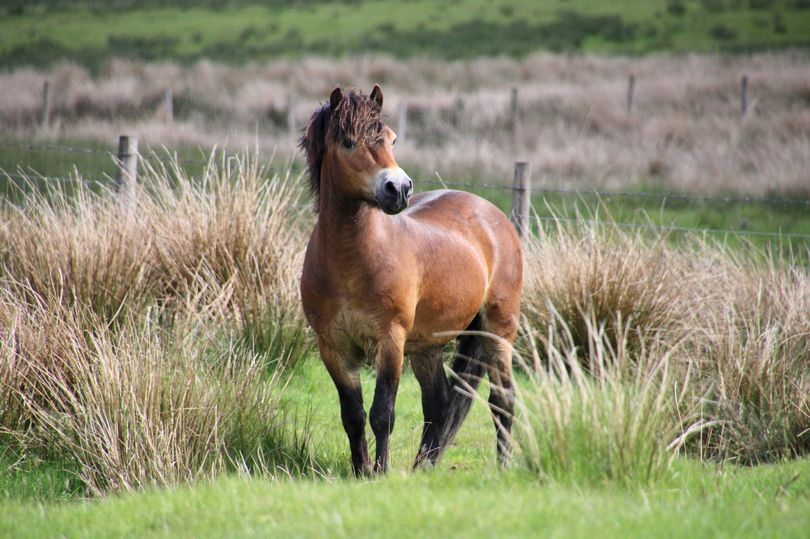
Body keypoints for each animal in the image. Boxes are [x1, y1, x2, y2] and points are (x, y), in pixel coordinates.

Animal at [300, 85, 520, 476]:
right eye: (347, 142)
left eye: (391, 138)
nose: (398, 188)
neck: (351, 262)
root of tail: (493, 215)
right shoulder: (333, 348)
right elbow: (352, 416)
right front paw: (361, 472)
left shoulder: (391, 341)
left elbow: (382, 414)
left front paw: (381, 473)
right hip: (428, 346)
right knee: (439, 403)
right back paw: (424, 468)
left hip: (498, 331)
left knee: (502, 398)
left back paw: (503, 466)